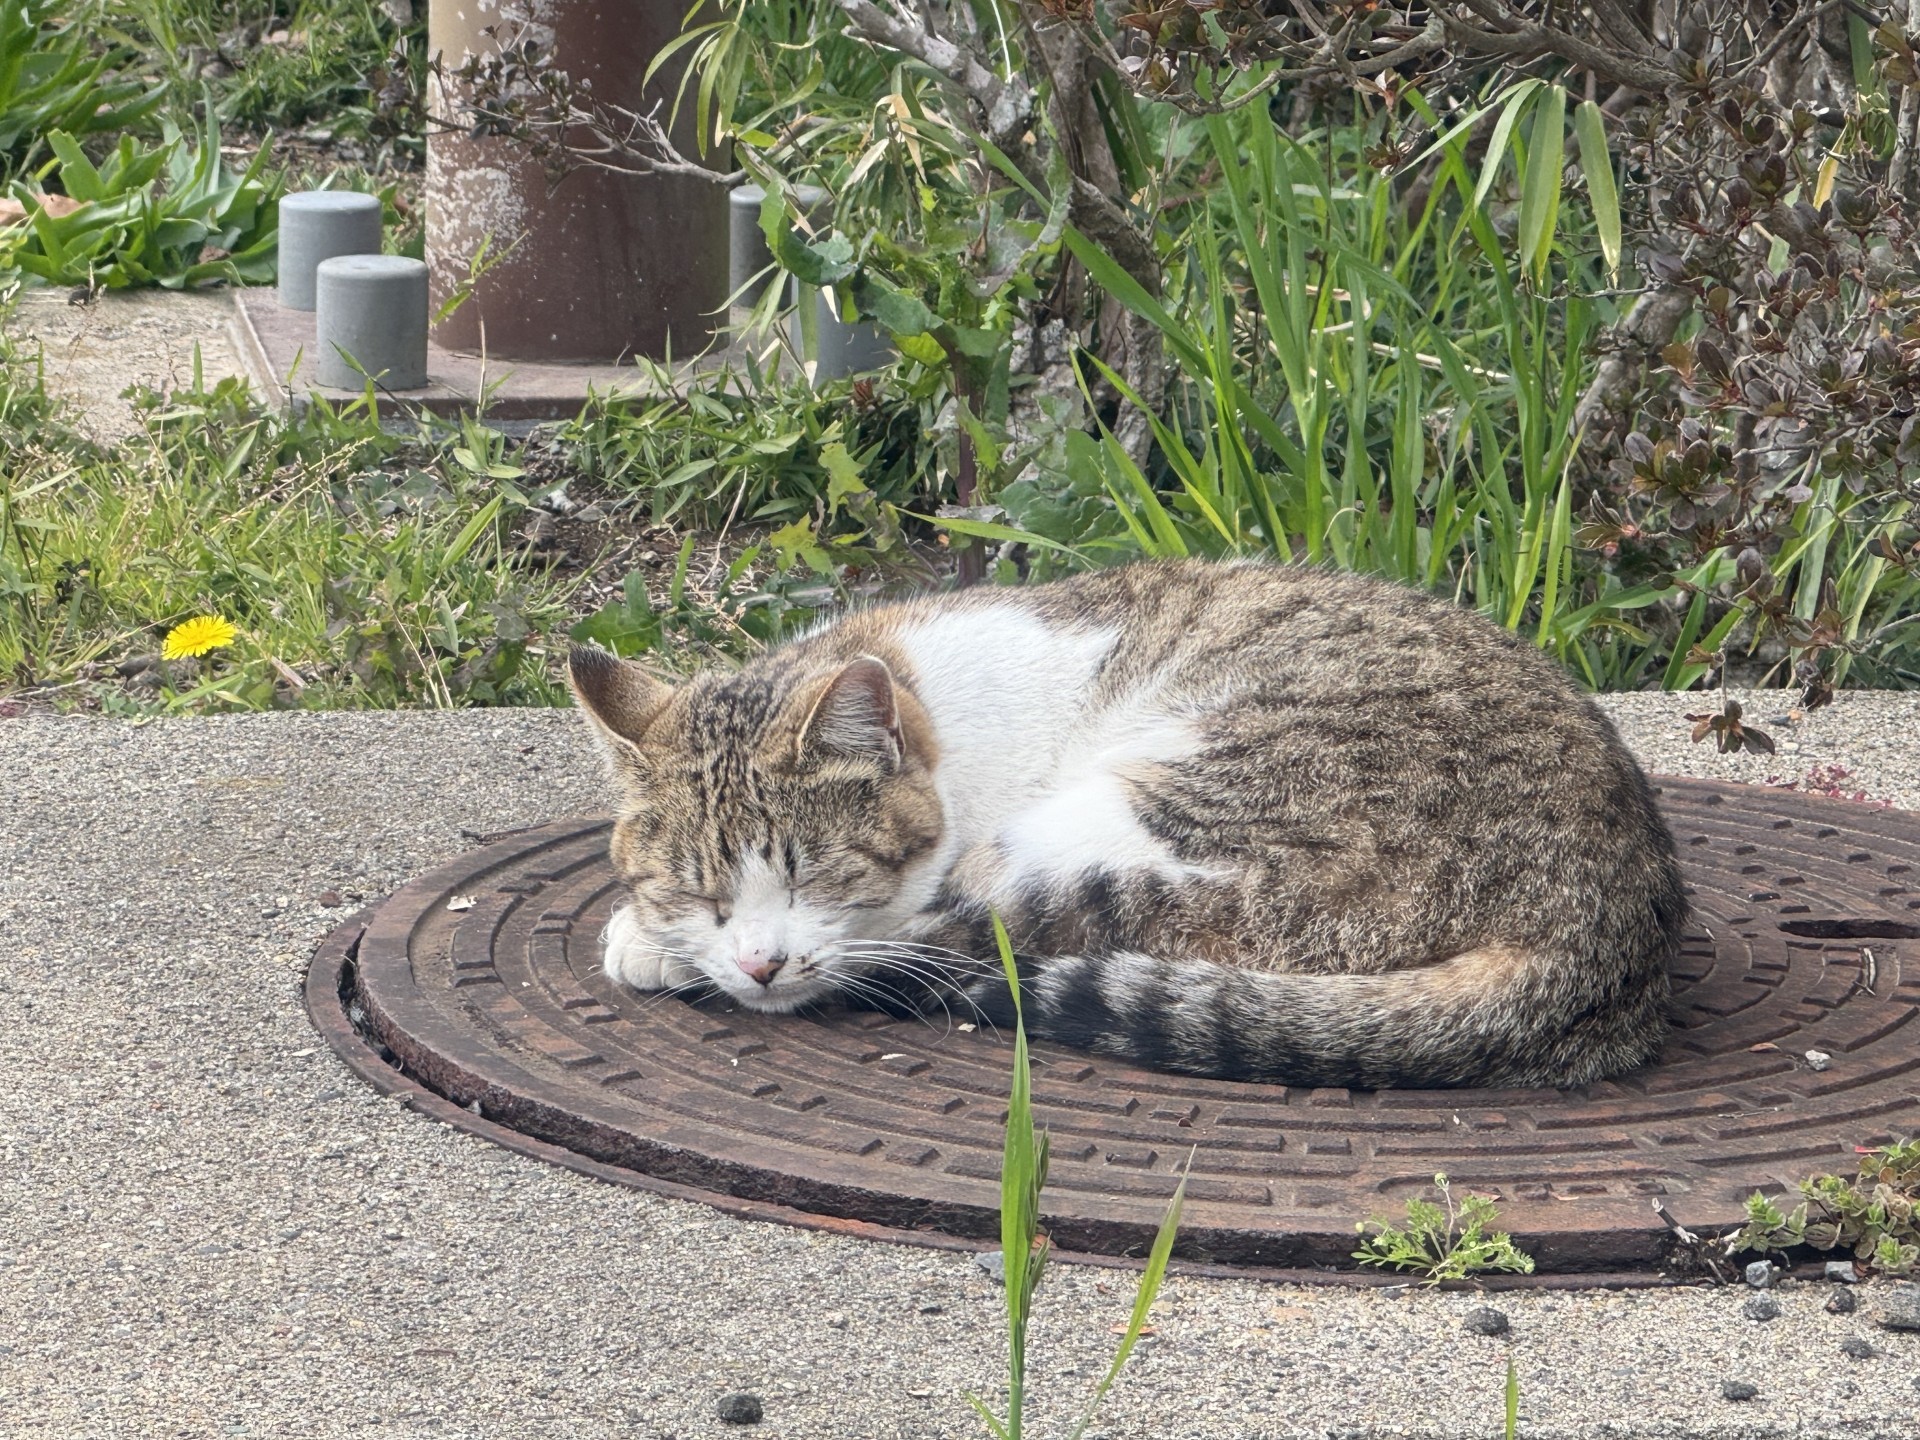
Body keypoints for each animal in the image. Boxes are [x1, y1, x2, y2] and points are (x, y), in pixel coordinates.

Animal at [568, 556, 1681, 1090]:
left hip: (1150, 812)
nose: (756, 963)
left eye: (811, 875)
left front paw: (651, 947)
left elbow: (889, 935)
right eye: (698, 891)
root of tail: (1604, 931)